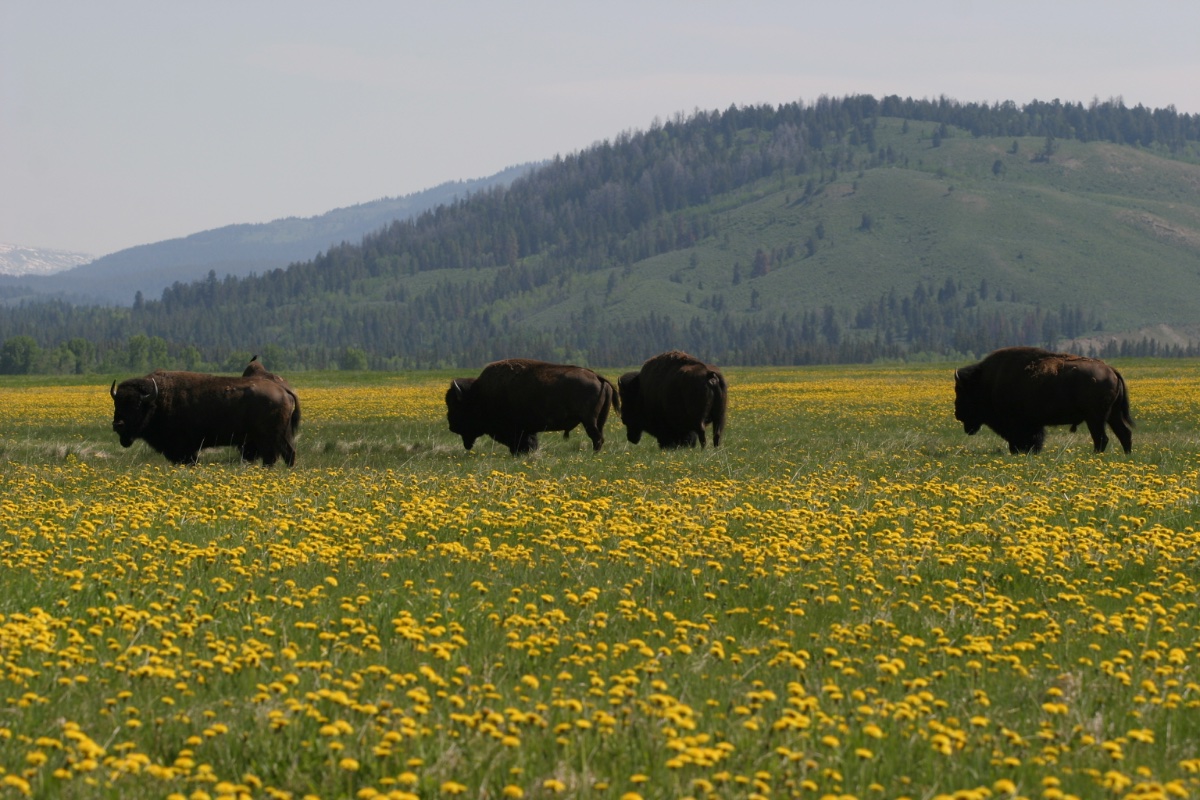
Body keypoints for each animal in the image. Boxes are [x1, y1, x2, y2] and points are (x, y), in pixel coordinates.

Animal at [110, 367, 301, 465]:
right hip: (283, 435)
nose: (117, 424)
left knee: (273, 456)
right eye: (116, 403)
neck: (158, 399)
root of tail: (283, 390)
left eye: (136, 405)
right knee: (288, 453)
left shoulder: (184, 448)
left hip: (268, 438)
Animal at [445, 359, 619, 454]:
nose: (451, 427)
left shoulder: (518, 430)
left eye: (455, 405)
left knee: (596, 437)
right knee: (599, 436)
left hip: (589, 420)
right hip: (599, 420)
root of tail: (598, 376)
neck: (480, 393)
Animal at [954, 346, 1133, 454]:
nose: (957, 413)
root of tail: (1111, 370)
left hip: (1095, 418)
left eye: (960, 391)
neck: (986, 382)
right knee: (1124, 433)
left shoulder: (1018, 424)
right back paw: (1126, 455)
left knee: (1101, 438)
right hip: (1112, 415)